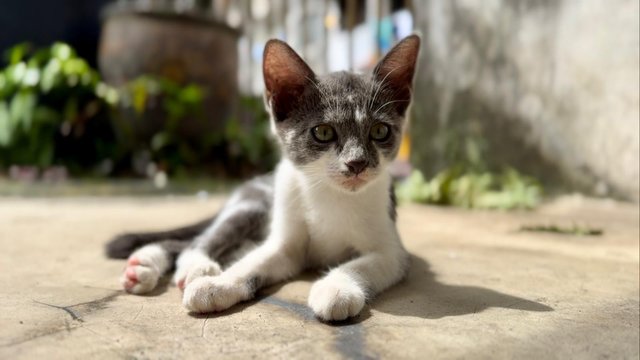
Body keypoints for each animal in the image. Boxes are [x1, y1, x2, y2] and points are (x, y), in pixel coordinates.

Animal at [106, 34, 420, 320]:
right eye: (323, 132)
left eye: (380, 131)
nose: (357, 163)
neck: (330, 195)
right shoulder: (286, 245)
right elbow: (253, 262)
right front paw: (218, 285)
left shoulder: (392, 251)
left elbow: (363, 264)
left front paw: (337, 288)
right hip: (252, 207)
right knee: (198, 241)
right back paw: (192, 267)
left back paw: (144, 266)